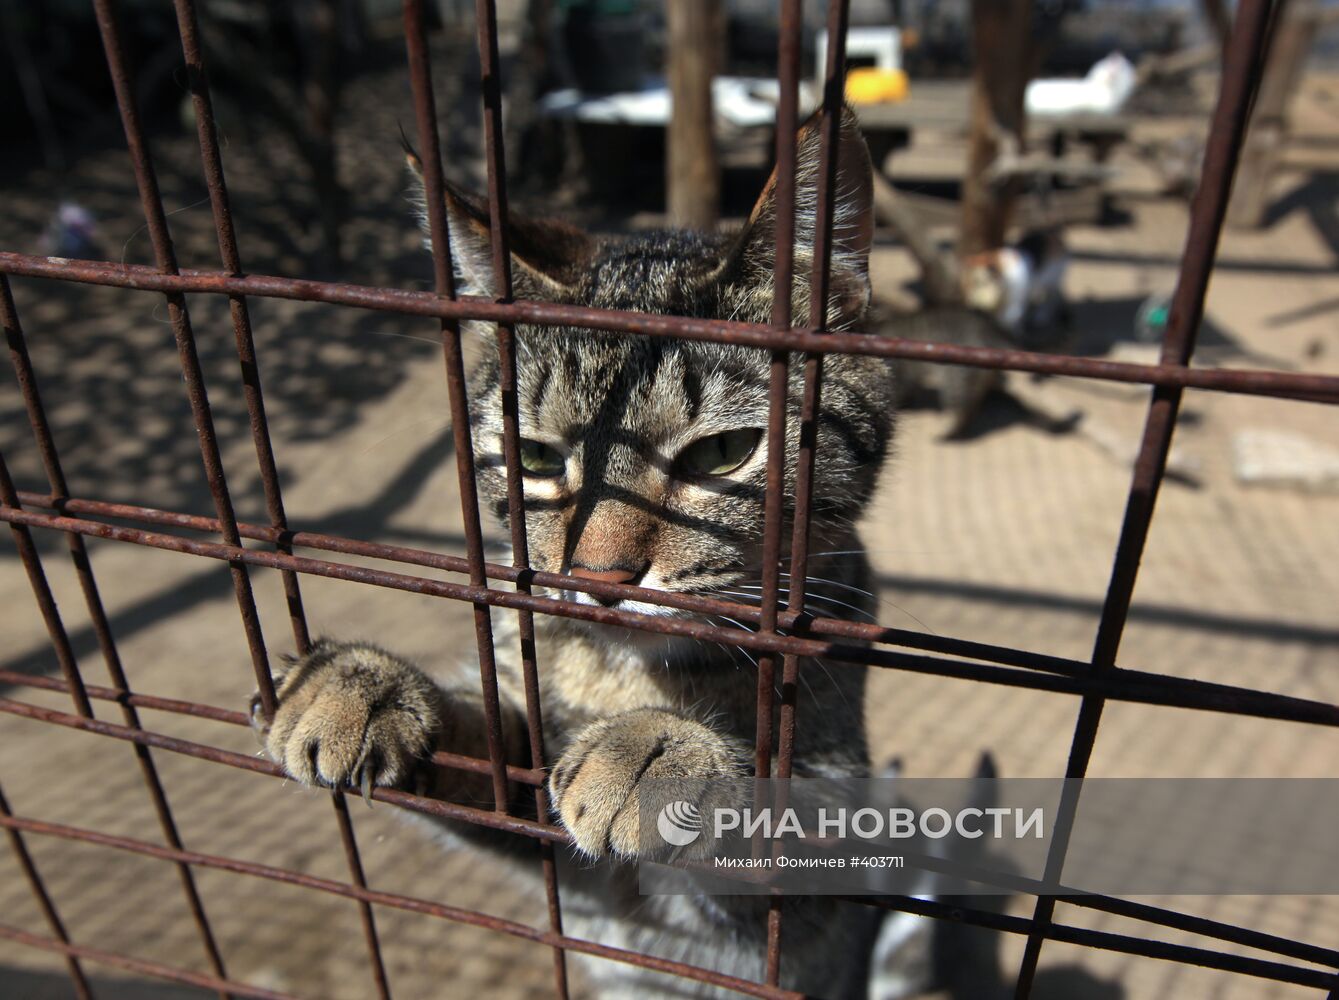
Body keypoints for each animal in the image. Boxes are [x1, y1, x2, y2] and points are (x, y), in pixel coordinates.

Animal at [249, 111, 910, 1000]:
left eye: (723, 453)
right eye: (533, 458)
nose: (598, 578)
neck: (619, 674)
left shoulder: (823, 878)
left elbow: (787, 817)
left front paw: (662, 749)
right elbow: (492, 748)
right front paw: (365, 682)